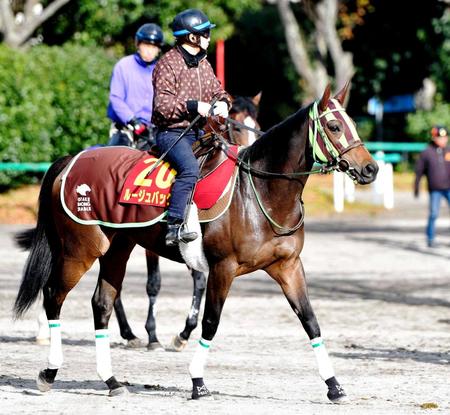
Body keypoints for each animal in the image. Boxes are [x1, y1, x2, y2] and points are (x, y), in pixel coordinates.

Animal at [110, 92, 262, 352]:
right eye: (236, 126)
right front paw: (153, 335)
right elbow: (154, 283)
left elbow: (199, 281)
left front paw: (184, 333)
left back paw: (129, 333)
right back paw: (129, 333)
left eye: (257, 125)